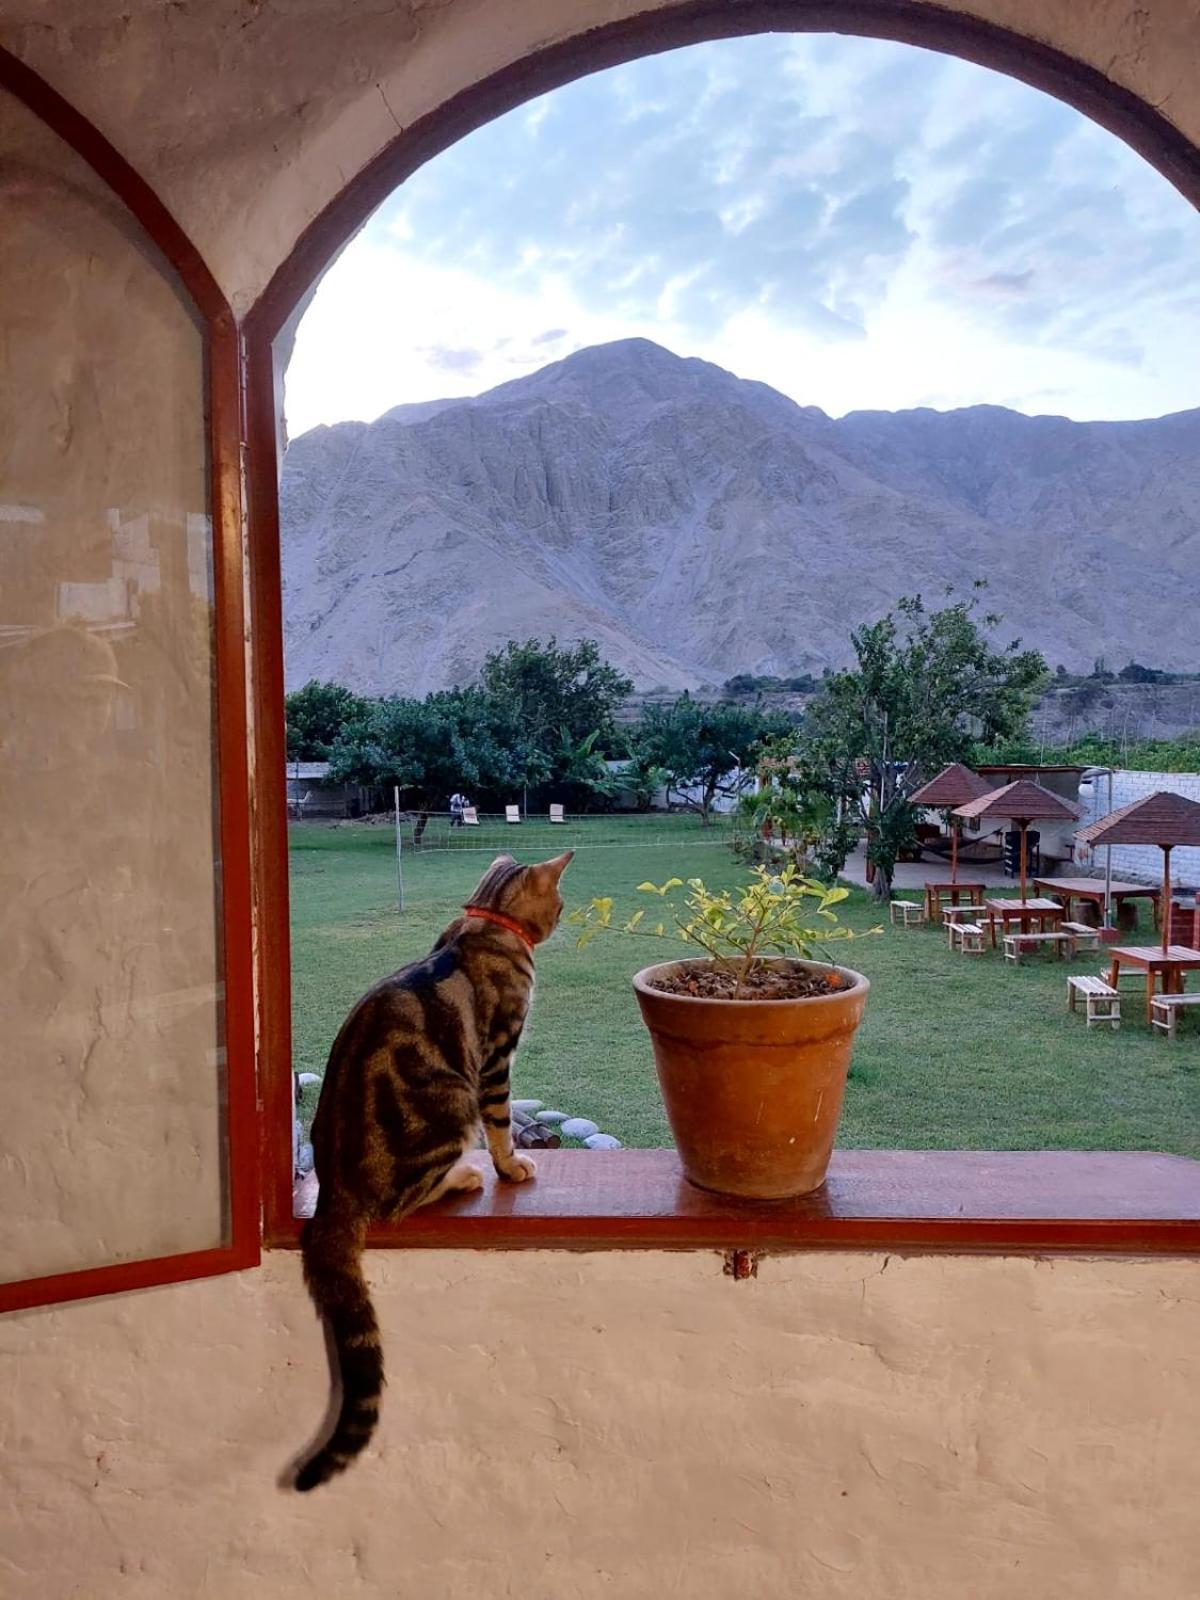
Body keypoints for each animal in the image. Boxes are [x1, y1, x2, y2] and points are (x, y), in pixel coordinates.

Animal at [291, 851, 572, 1484]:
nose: (566, 916)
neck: (484, 923)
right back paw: (464, 1176)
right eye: (562, 901)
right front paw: (511, 1165)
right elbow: (501, 1124)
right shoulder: (496, 1058)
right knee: (409, 1197)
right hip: (452, 1099)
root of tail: (334, 1191)